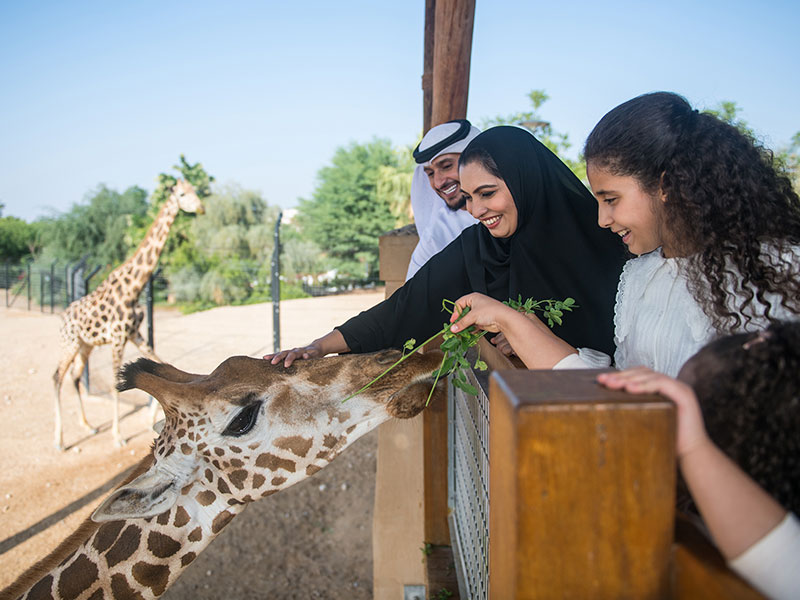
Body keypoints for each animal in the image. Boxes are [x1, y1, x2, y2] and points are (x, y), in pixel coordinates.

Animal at [52, 179, 205, 450]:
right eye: (182, 194)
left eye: (195, 191)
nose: (201, 208)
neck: (133, 288)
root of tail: (64, 315)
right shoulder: (118, 337)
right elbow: (116, 383)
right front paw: (118, 436)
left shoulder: (135, 333)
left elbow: (158, 360)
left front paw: (153, 415)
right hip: (69, 342)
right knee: (57, 377)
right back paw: (59, 440)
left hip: (85, 345)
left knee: (75, 376)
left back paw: (88, 426)